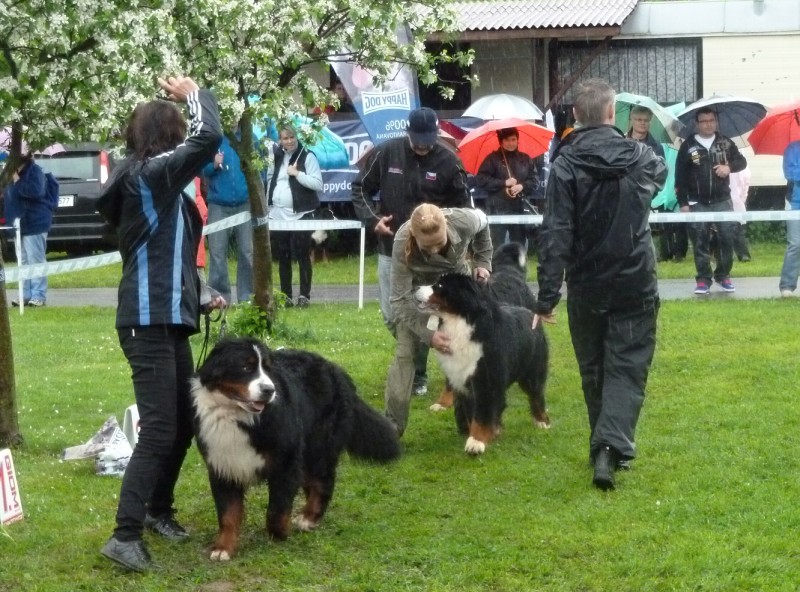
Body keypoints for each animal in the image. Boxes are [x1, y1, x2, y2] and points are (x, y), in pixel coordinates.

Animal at [191, 338, 404, 560]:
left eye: (267, 369)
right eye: (245, 367)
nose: (269, 390)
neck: (237, 416)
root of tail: (336, 370)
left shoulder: (286, 460)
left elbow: (276, 509)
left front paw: (279, 534)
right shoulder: (223, 465)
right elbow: (228, 514)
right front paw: (223, 547)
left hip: (318, 446)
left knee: (323, 481)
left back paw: (309, 517)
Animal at [412, 270, 552, 456]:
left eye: (440, 286)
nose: (415, 287)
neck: (460, 323)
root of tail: (530, 313)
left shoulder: (486, 379)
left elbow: (482, 413)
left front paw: (476, 442)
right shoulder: (461, 377)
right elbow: (472, 412)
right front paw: (480, 433)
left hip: (532, 371)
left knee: (536, 395)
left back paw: (542, 421)